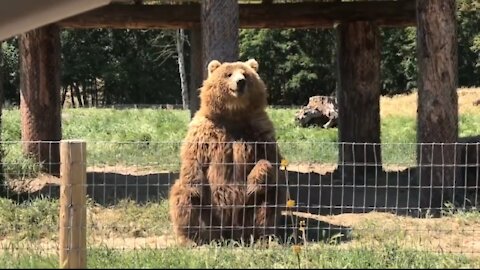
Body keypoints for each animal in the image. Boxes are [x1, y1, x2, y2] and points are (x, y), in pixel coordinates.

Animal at [169, 58, 286, 246]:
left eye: (245, 74)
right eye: (228, 74)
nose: (240, 82)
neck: (233, 115)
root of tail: (228, 233)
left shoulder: (260, 130)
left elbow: (269, 159)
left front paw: (255, 180)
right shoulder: (205, 131)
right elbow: (193, 159)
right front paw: (194, 186)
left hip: (247, 212)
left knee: (270, 197)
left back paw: (263, 238)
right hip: (209, 213)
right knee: (184, 198)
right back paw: (191, 239)